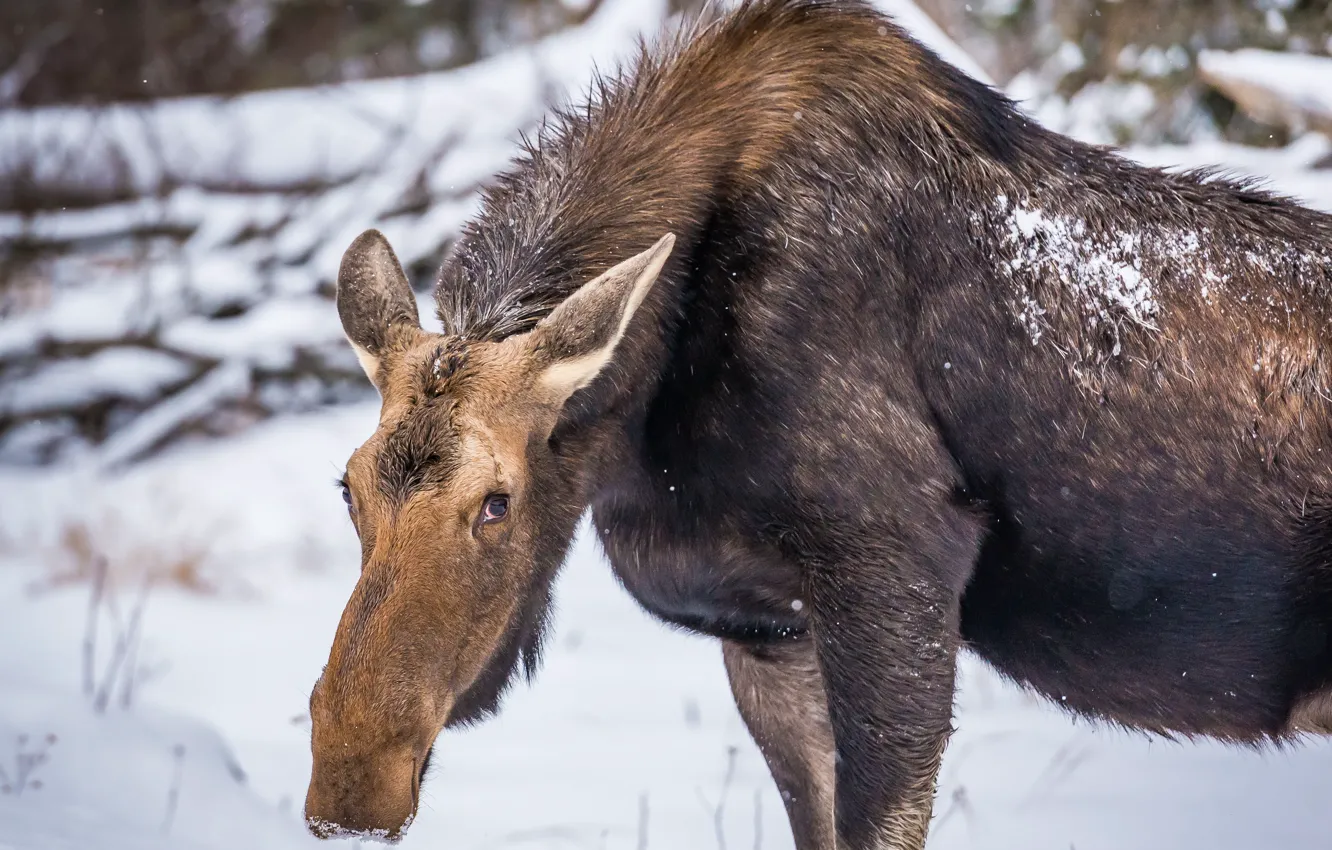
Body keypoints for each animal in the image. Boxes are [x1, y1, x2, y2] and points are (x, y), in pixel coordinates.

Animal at [302, 1, 1332, 847]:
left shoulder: (894, 568)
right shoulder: (766, 626)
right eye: (345, 489)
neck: (644, 421)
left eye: (497, 501)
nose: (350, 790)